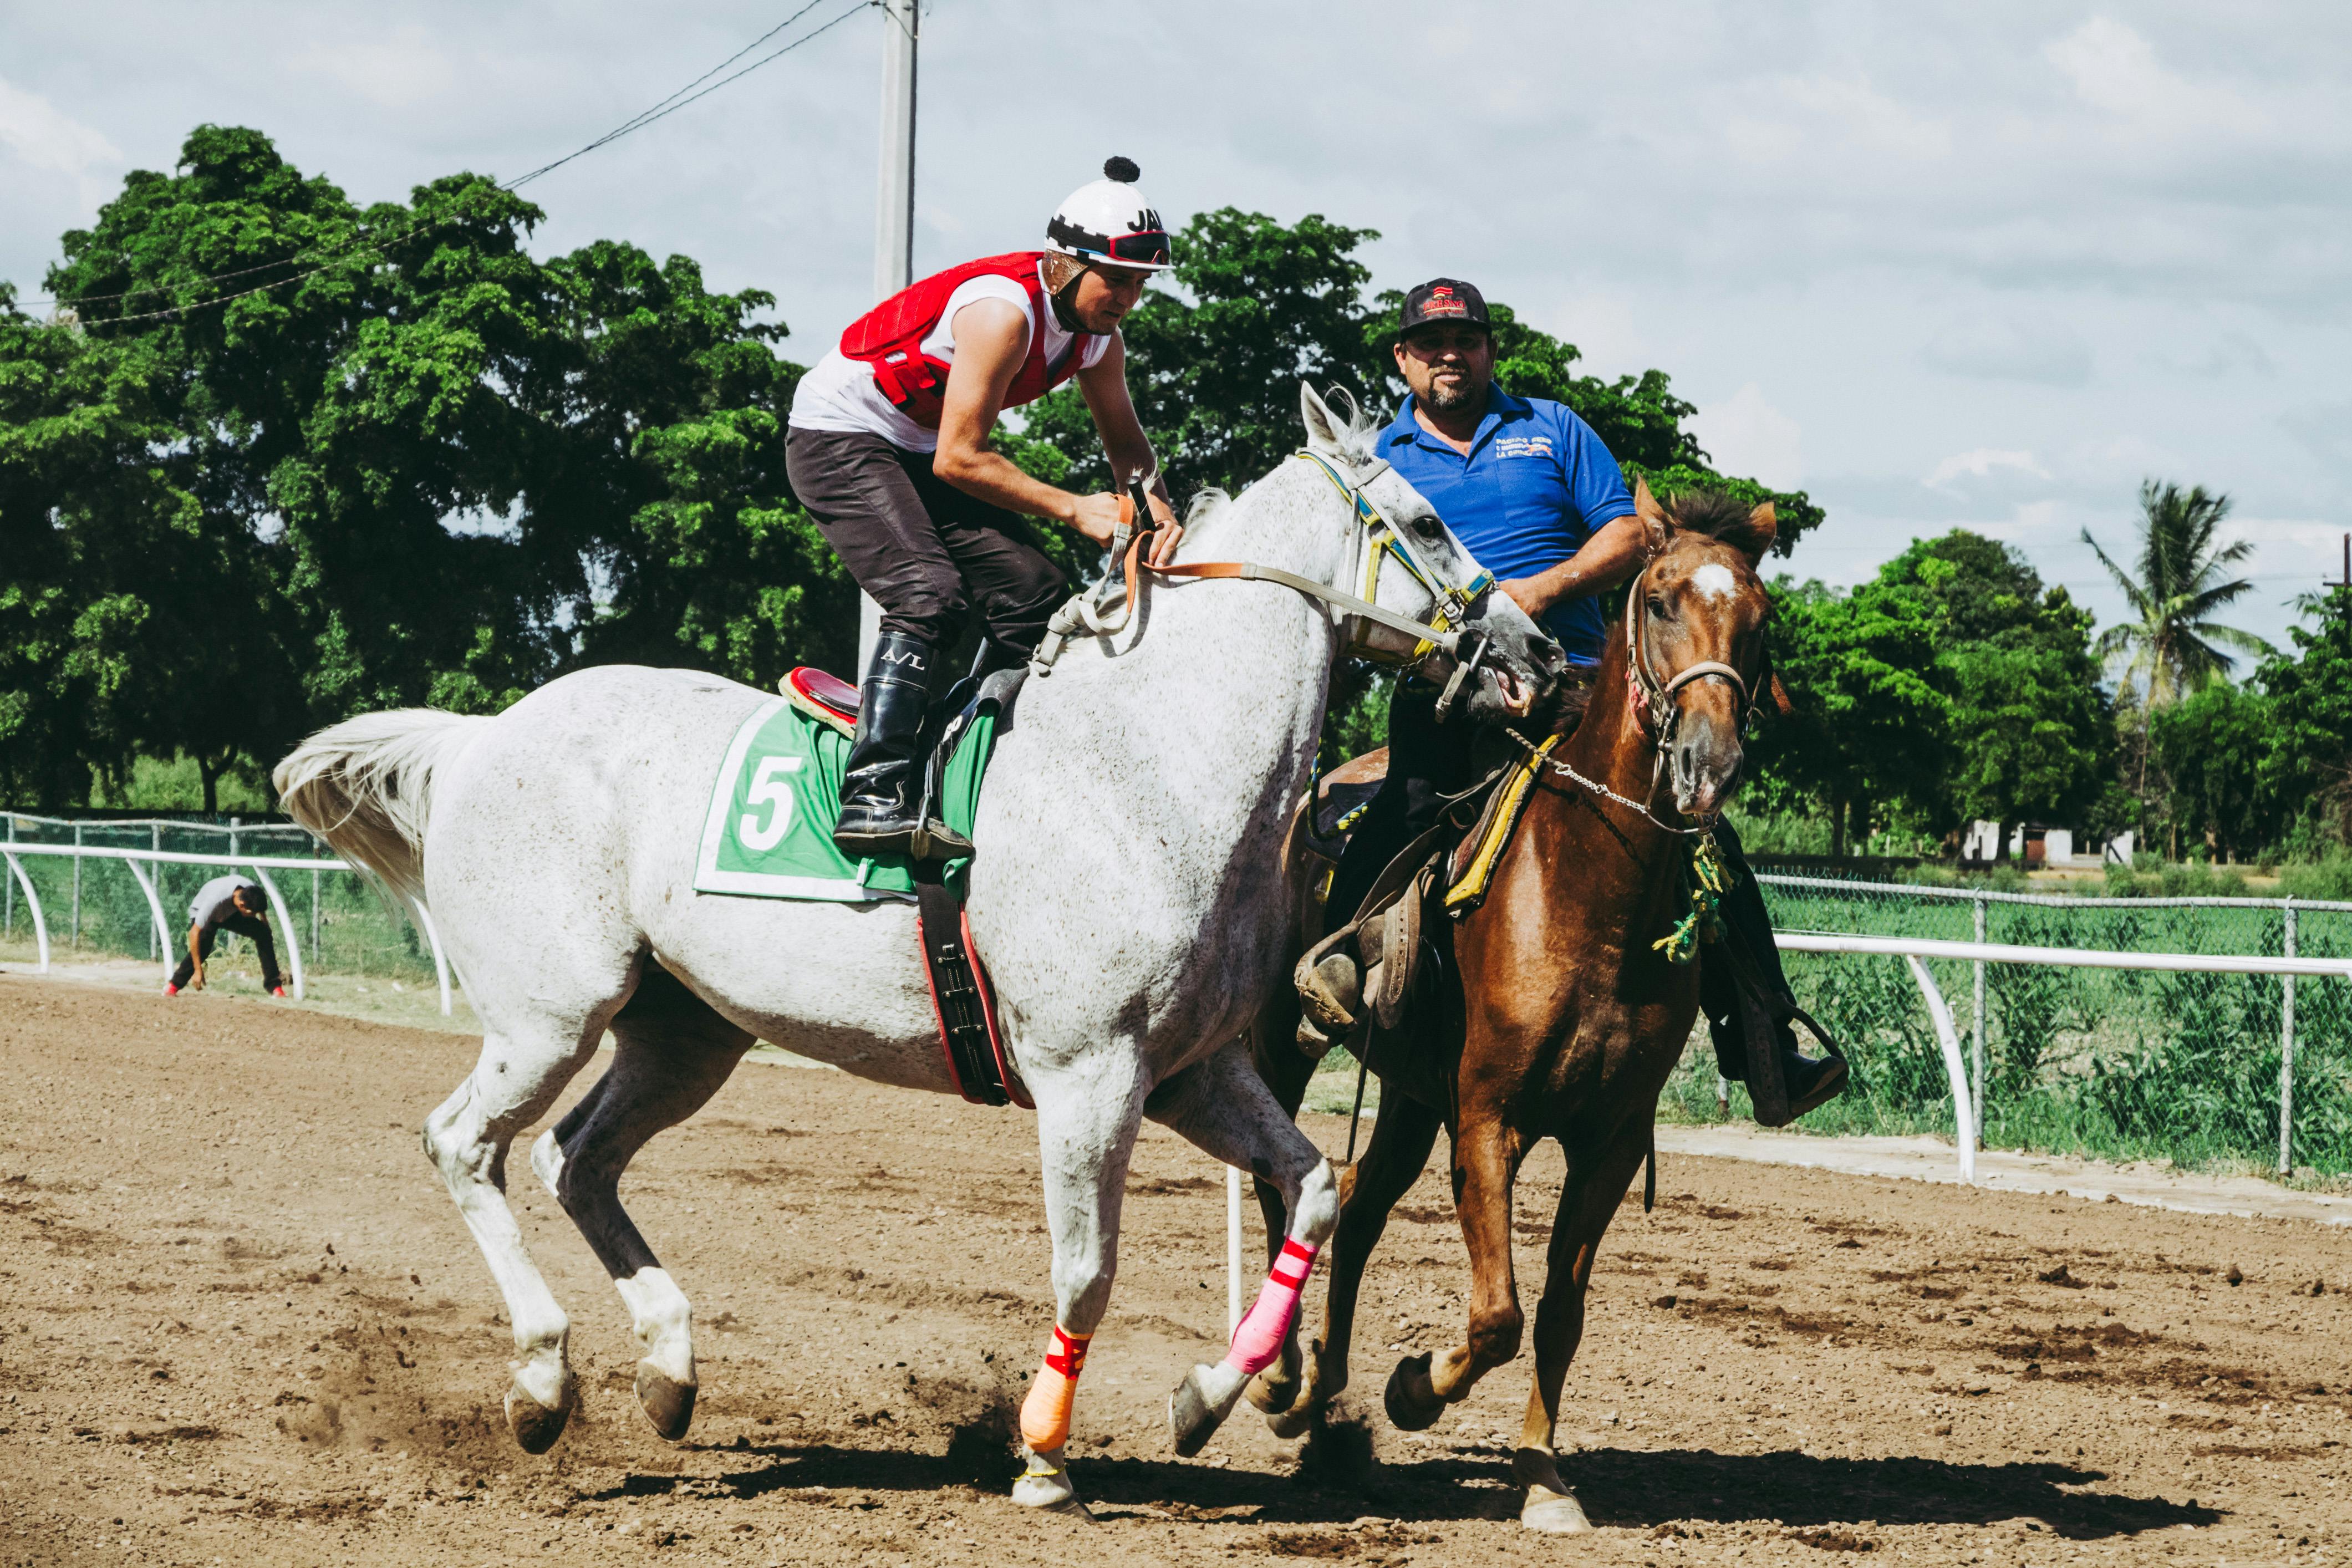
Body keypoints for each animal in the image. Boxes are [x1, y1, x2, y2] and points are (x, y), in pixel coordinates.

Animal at [279, 385, 1561, 1514]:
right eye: (1431, 523)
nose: (1542, 658)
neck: (1149, 769)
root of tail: (479, 737)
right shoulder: (1089, 1077)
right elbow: (1086, 1269)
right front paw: (1042, 1453)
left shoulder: (1193, 1071)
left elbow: (1311, 1189)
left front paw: (1205, 1396)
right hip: (551, 1012)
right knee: (467, 1144)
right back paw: (545, 1376)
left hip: (684, 1032)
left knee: (577, 1158)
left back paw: (668, 1368)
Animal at [1241, 482, 1768, 1533]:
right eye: (1658, 600)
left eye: (1760, 621)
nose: (1708, 760)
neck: (1595, 900)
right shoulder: (1489, 1119)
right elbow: (1496, 1314)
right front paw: (1414, 1386)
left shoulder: (1610, 1139)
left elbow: (1558, 1312)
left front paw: (1541, 1473)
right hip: (1290, 1046)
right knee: (1285, 1187)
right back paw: (1280, 1377)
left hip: (1411, 1094)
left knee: (1358, 1202)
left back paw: (1323, 1397)